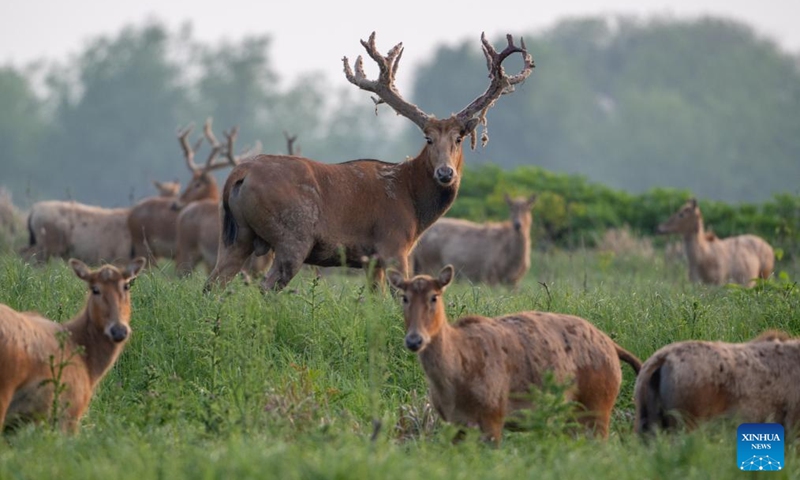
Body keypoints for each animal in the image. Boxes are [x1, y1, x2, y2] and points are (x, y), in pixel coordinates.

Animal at [204, 32, 534, 293]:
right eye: (427, 138)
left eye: (459, 138)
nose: (445, 172)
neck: (414, 205)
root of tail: (239, 173)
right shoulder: (393, 244)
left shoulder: (371, 260)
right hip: (292, 235)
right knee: (265, 287)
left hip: (234, 236)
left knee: (211, 284)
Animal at [387, 265, 642, 444]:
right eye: (404, 297)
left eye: (434, 296)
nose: (414, 340)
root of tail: (613, 347)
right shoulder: (452, 422)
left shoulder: (494, 415)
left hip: (599, 405)